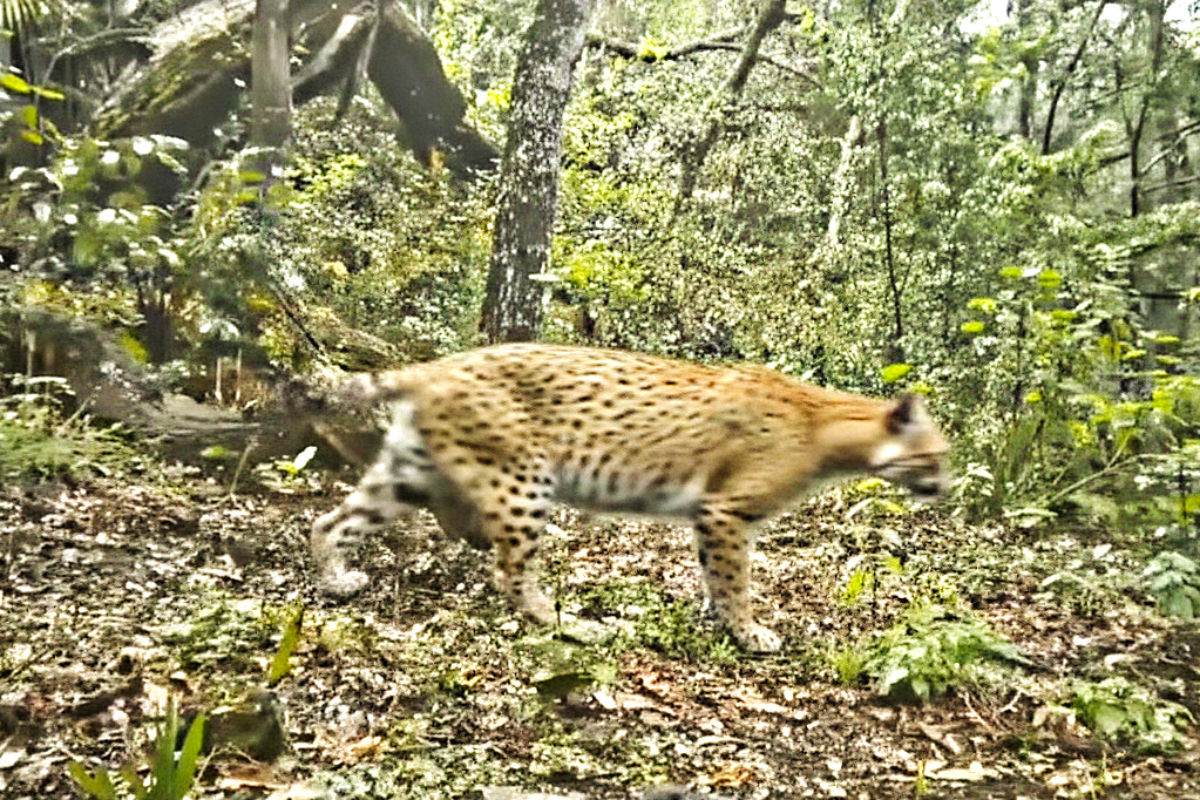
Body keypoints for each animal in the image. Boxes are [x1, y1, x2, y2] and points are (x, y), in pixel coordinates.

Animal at [310, 343, 949, 652]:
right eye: (935, 457)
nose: (946, 487)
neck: (831, 425)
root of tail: (434, 365)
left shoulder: (709, 514)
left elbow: (714, 573)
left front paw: (718, 619)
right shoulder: (727, 509)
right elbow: (736, 579)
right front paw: (749, 633)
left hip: (408, 472)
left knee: (329, 521)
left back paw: (336, 580)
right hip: (525, 480)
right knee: (509, 573)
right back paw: (577, 626)